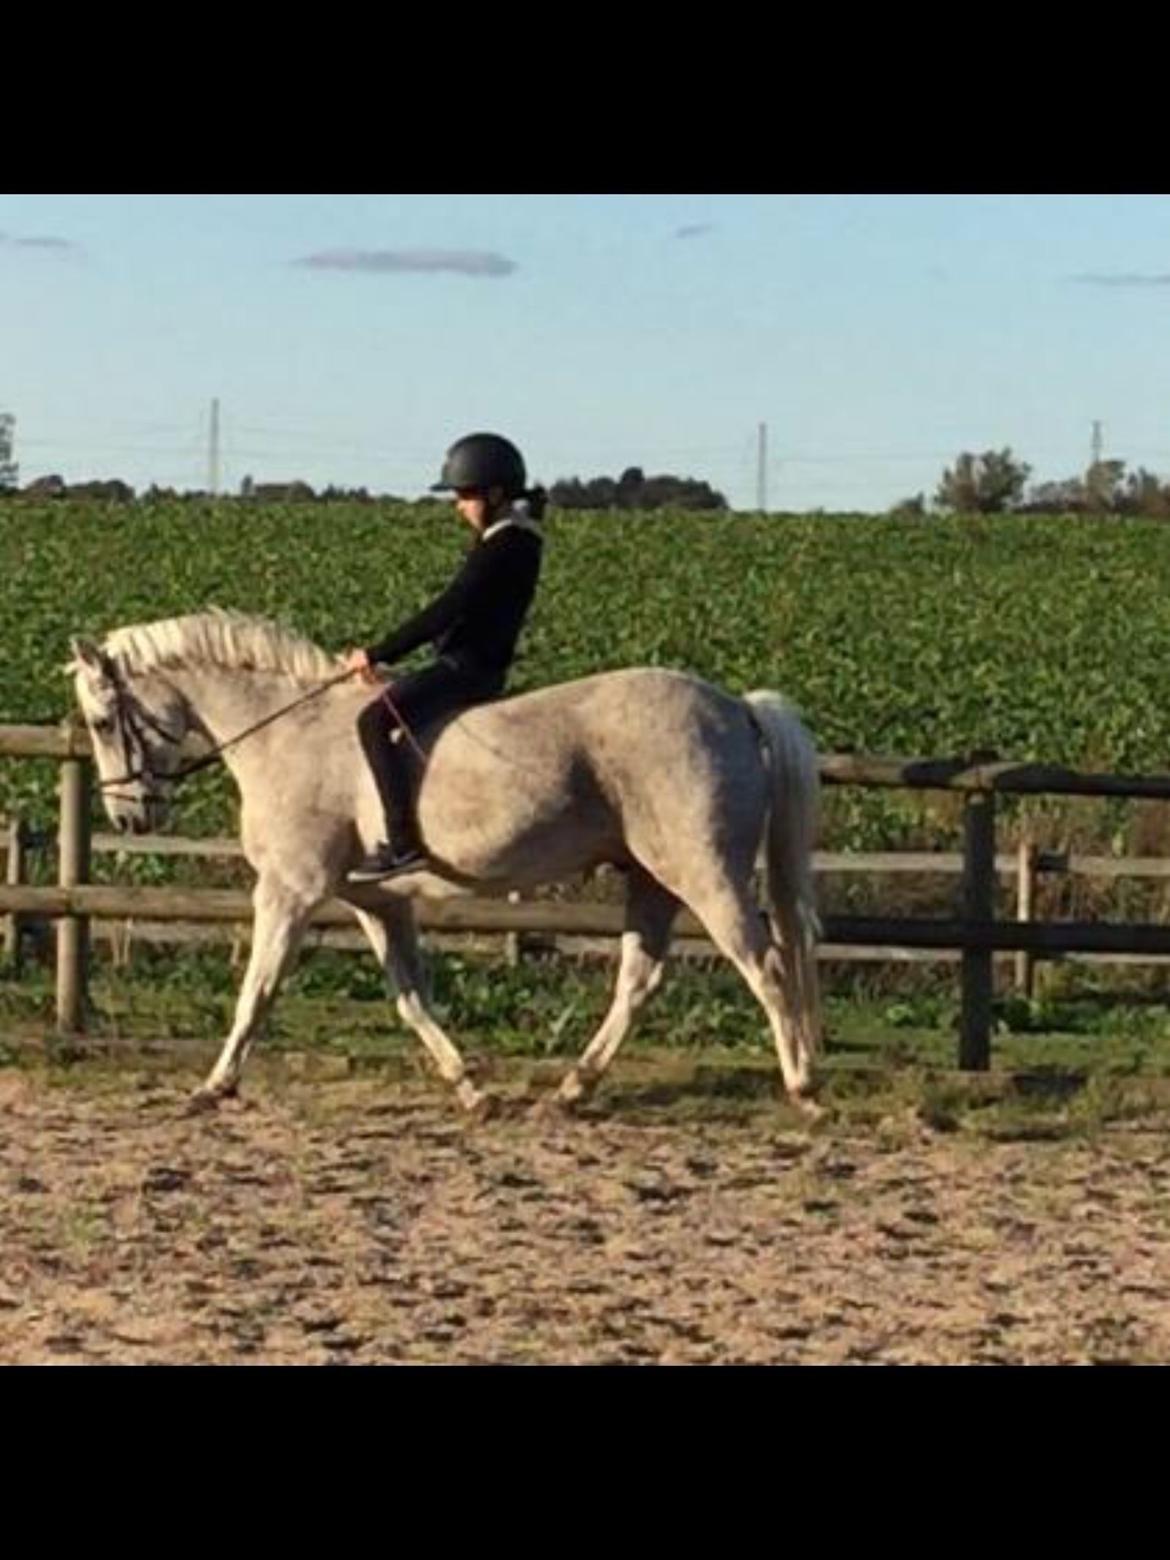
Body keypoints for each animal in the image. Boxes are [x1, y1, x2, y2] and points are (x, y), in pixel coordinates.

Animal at [67, 609, 822, 1117]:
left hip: (706, 874)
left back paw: (804, 1087)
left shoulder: (288, 890)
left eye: (102, 722)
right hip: (652, 880)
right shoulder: (376, 901)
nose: (130, 818)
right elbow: (411, 998)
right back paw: (572, 1089)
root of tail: (735, 706)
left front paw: (214, 1085)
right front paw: (471, 1089)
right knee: (640, 979)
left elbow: (258, 989)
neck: (287, 732)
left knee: (765, 965)